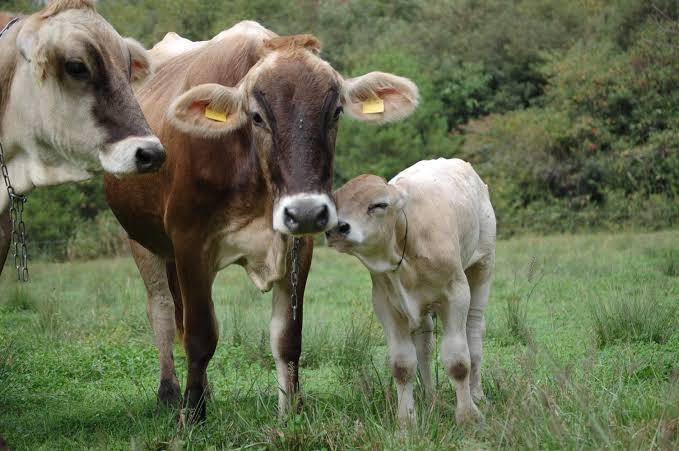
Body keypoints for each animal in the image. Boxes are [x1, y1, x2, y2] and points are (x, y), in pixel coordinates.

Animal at [104, 21, 419, 423]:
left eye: (335, 112)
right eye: (256, 116)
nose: (305, 211)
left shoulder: (298, 245)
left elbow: (287, 337)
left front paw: (292, 410)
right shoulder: (190, 241)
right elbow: (200, 334)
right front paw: (193, 414)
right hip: (142, 240)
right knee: (161, 310)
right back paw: (170, 393)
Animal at [325, 158, 496, 426]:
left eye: (379, 204)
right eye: (336, 205)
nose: (338, 228)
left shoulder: (456, 294)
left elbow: (458, 361)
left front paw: (468, 416)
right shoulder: (385, 304)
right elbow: (403, 365)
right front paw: (406, 421)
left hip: (482, 268)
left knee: (474, 333)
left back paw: (477, 394)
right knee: (424, 344)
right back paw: (430, 396)